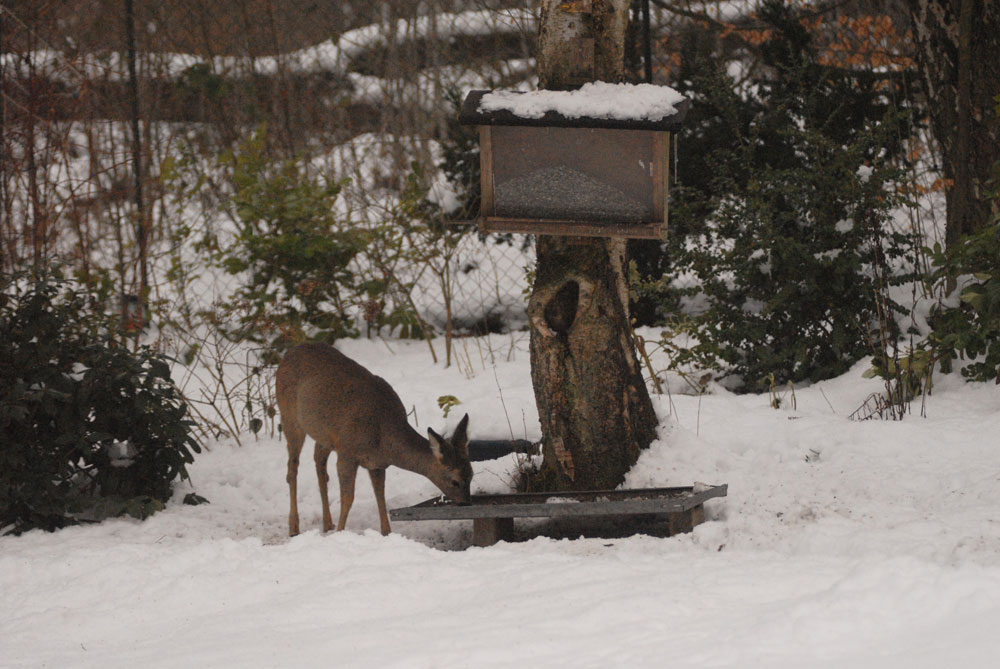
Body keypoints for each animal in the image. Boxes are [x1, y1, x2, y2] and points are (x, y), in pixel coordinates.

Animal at [276, 342, 474, 536]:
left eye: (471, 474)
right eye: (455, 481)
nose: (466, 503)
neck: (383, 438)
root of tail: (288, 355)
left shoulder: (376, 463)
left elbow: (380, 495)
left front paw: (386, 533)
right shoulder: (347, 452)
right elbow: (348, 498)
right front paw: (341, 533)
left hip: (324, 435)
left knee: (319, 463)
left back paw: (327, 523)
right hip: (289, 417)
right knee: (292, 467)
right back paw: (294, 527)